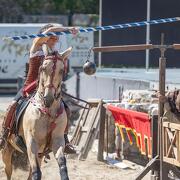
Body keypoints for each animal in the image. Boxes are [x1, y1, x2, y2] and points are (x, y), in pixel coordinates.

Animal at [1, 44, 72, 180]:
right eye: (43, 68)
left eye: (61, 71)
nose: (48, 98)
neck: (48, 112)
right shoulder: (31, 144)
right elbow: (36, 172)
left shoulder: (58, 141)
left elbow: (62, 165)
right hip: (6, 151)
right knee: (8, 171)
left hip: (40, 154)